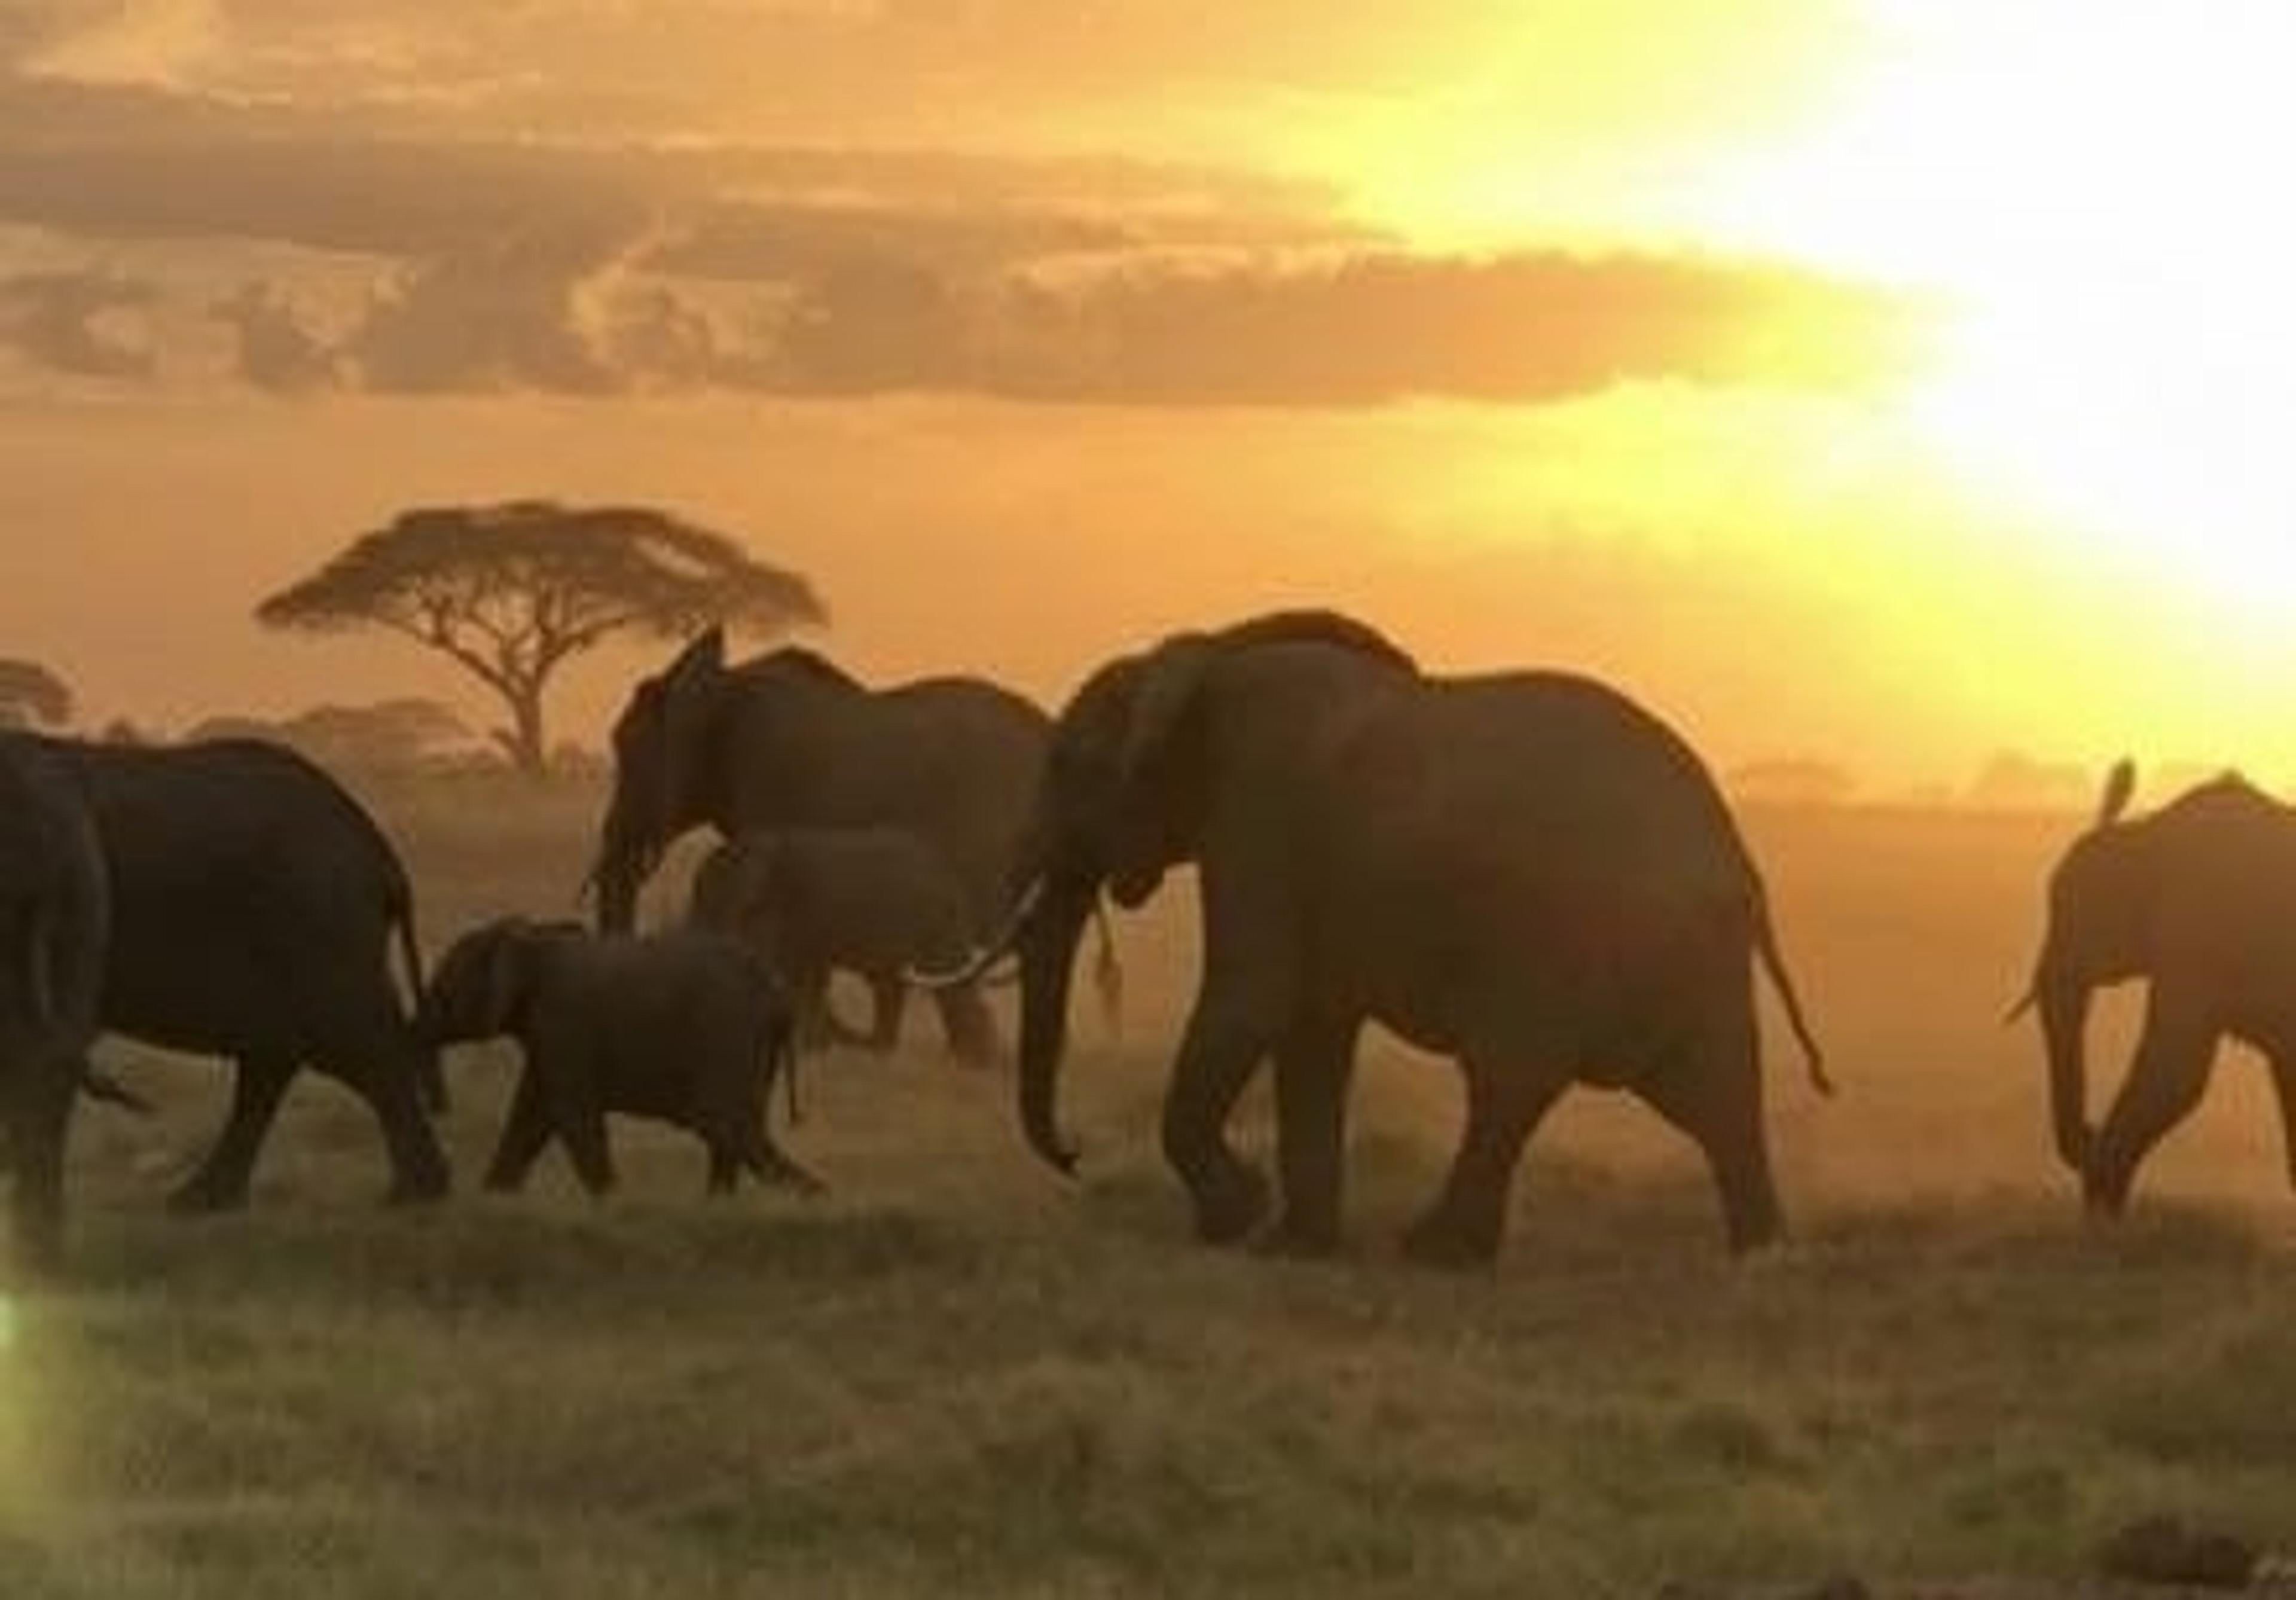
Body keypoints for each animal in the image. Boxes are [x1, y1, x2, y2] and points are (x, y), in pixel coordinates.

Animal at [19, 734, 450, 1213]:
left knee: (357, 1045)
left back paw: (414, 1196)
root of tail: (383, 856)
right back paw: (198, 1202)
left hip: (318, 925)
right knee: (278, 1057)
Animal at [415, 917, 820, 1197]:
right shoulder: (549, 1039)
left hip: (727, 1034)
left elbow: (571, 1117)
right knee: (735, 1130)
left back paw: (812, 1200)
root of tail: (778, 994)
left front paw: (612, 1203)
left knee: (725, 1126)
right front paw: (491, 1199)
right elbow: (530, 1118)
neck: (532, 937)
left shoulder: (564, 1024)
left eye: (443, 985)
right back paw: (720, 1205)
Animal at [938, 610, 1829, 1266]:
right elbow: (1311, 1033)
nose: (1075, 1155)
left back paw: (1433, 1253)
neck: (1206, 654)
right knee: (1712, 1095)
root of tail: (1738, 861)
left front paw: (1239, 1220)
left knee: (1512, 1081)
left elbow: (1252, 1003)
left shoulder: (1263, 817)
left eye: (1065, 767)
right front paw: (1291, 1248)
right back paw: (1762, 1255)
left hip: (1572, 941)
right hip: (1684, 957)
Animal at [2010, 761, 2296, 1215]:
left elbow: (2175, 1069)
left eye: (2069, 914)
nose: (2089, 1129)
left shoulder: (2196, 928)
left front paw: (2103, 1202)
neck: (2150, 834)